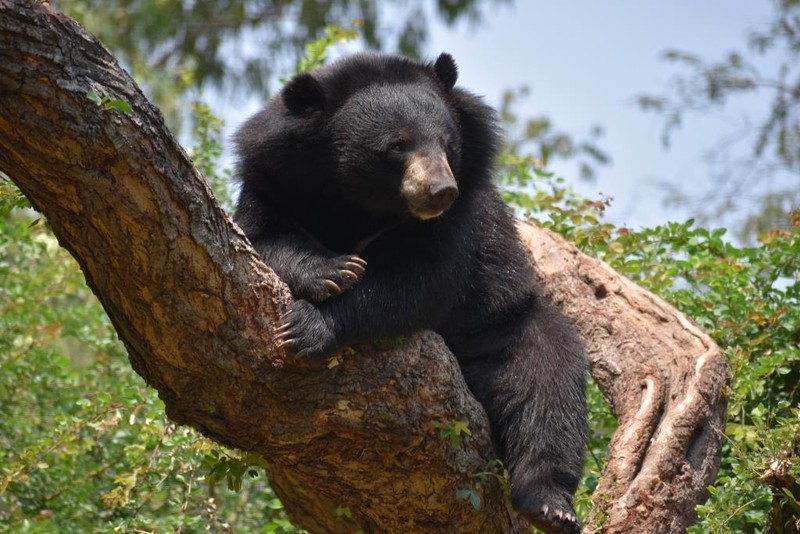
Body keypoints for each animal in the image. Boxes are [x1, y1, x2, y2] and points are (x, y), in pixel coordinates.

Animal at [231, 52, 588, 532]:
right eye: (396, 146)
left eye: (446, 143)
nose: (440, 190)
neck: (360, 202)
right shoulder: (274, 179)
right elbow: (264, 236)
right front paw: (333, 272)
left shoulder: (461, 218)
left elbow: (419, 281)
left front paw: (309, 328)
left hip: (498, 327)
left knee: (549, 374)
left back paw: (550, 506)